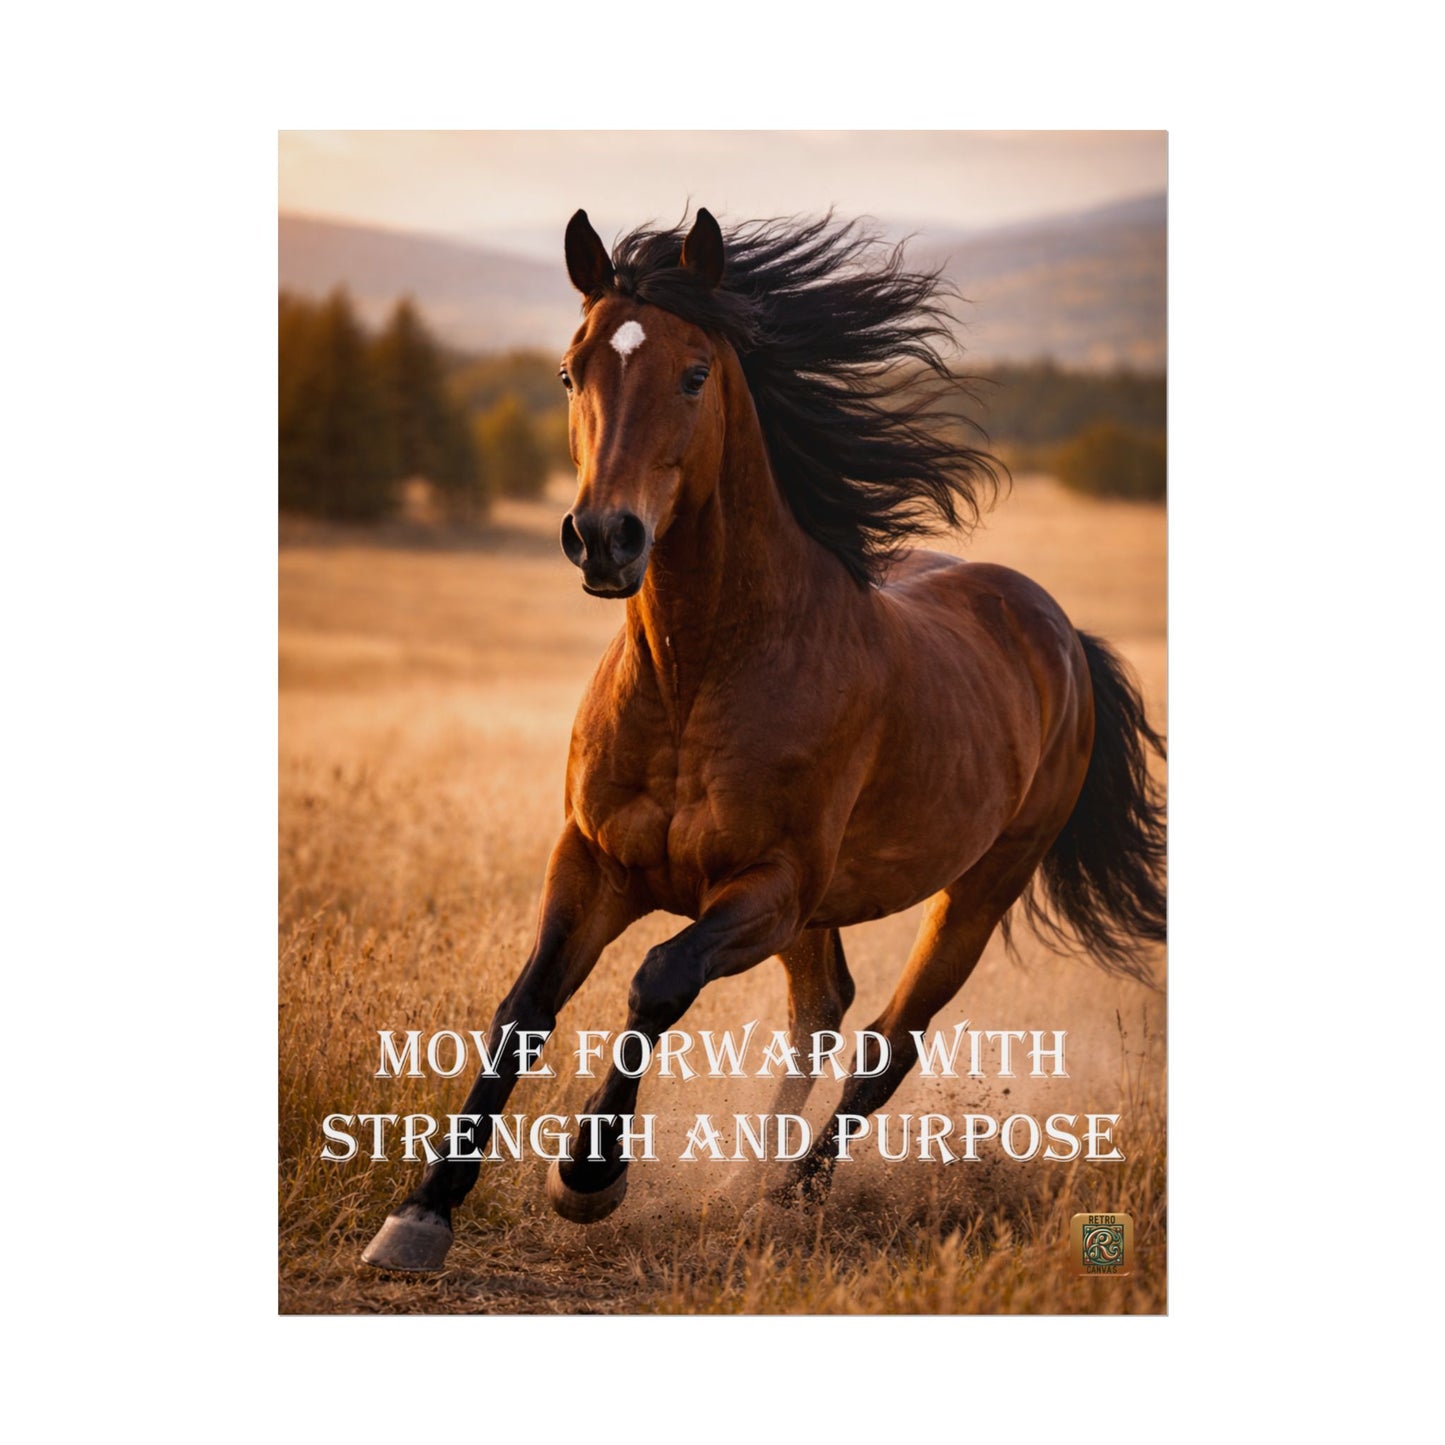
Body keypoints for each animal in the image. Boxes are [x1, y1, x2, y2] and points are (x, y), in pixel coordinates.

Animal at [362, 206, 1166, 1272]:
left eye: (695, 373)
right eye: (571, 371)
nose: (604, 538)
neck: (696, 676)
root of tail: (1058, 631)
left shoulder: (765, 890)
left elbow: (657, 981)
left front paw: (588, 1175)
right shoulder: (592, 861)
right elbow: (522, 1010)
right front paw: (422, 1211)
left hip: (980, 885)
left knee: (886, 1040)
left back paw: (789, 1193)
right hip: (825, 909)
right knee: (822, 1011)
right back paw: (746, 1183)